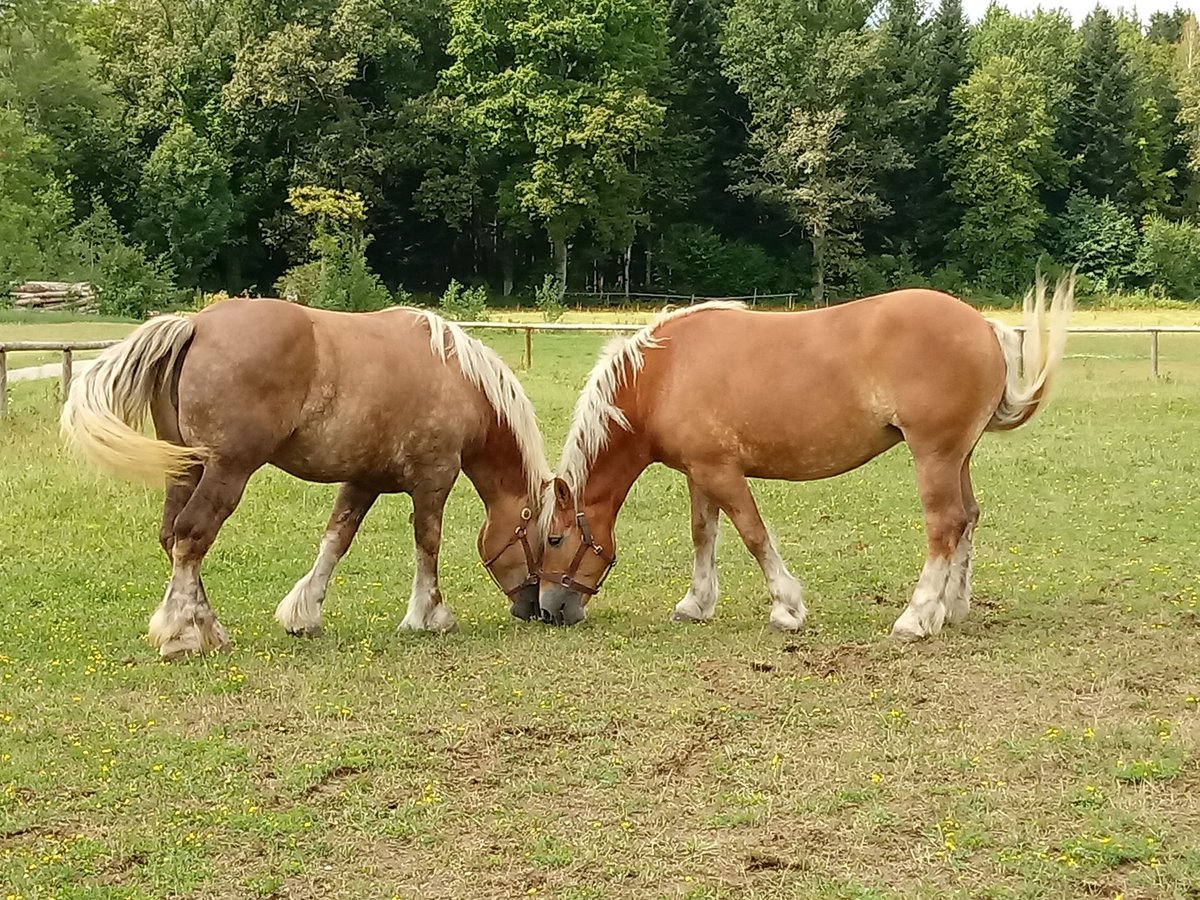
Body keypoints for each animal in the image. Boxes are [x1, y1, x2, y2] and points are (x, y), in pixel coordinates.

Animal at [63, 300, 549, 657]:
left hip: (186, 469)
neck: (456, 377)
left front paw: (304, 614)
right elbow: (428, 546)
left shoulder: (363, 481)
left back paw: (206, 627)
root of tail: (194, 326)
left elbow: (335, 540)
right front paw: (429, 616)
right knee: (192, 534)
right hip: (226, 471)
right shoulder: (434, 479)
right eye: (545, 539)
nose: (536, 608)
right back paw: (183, 635)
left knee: (172, 537)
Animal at [540, 278, 1075, 638]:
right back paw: (951, 608)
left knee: (944, 524)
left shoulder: (721, 471)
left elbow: (753, 534)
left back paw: (916, 617)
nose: (547, 609)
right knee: (968, 518)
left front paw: (787, 609)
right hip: (958, 455)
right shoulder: (699, 472)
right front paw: (696, 603)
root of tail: (983, 325)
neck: (663, 374)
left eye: (553, 538)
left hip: (934, 454)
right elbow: (703, 534)